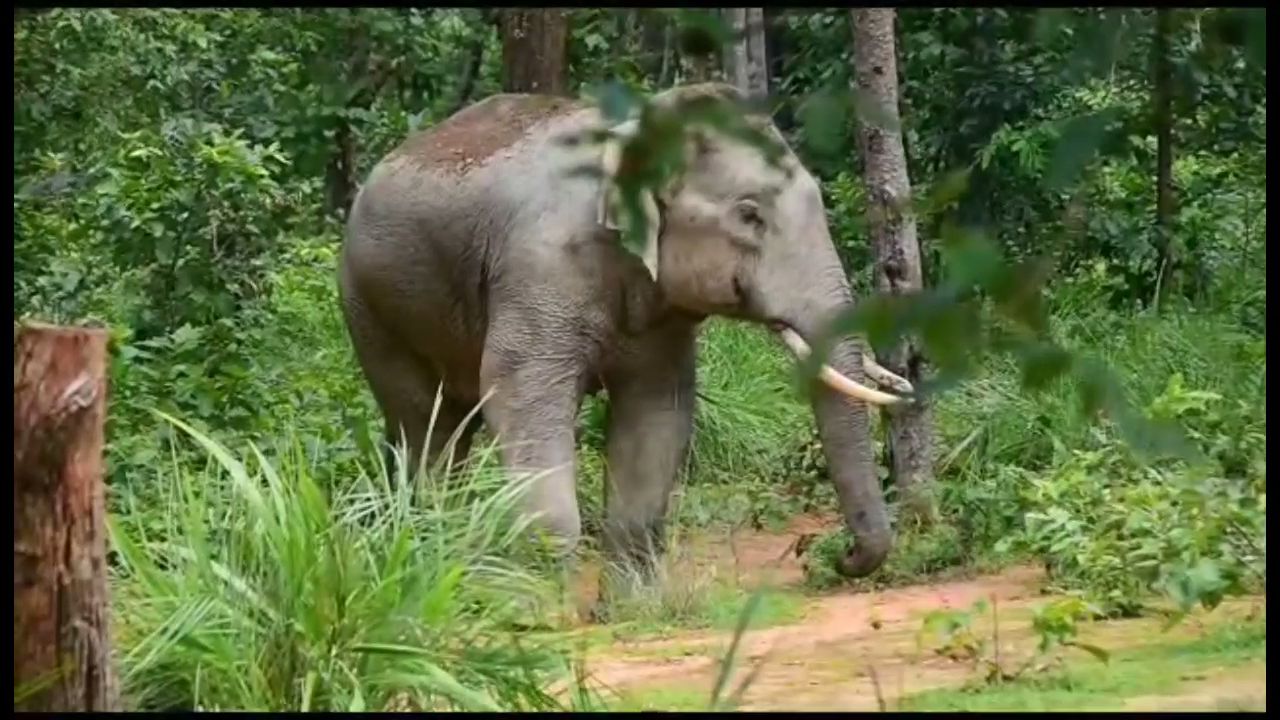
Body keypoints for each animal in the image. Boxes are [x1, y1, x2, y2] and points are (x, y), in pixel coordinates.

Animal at [338, 82, 913, 583]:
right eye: (750, 215)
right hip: (369, 304)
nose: (837, 555)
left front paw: (629, 610)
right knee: (425, 423)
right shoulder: (540, 267)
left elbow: (658, 410)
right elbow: (519, 397)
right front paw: (546, 613)